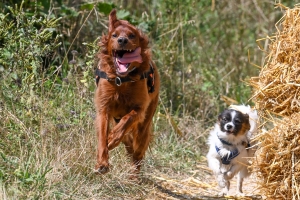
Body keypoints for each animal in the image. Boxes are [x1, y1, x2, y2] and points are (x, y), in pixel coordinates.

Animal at [94, 9, 159, 177]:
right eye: (114, 35)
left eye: (131, 36)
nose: (122, 40)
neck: (120, 80)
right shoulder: (104, 108)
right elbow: (102, 136)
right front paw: (102, 163)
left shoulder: (139, 109)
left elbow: (126, 120)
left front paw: (112, 139)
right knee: (129, 144)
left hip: (145, 125)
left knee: (137, 152)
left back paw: (134, 175)